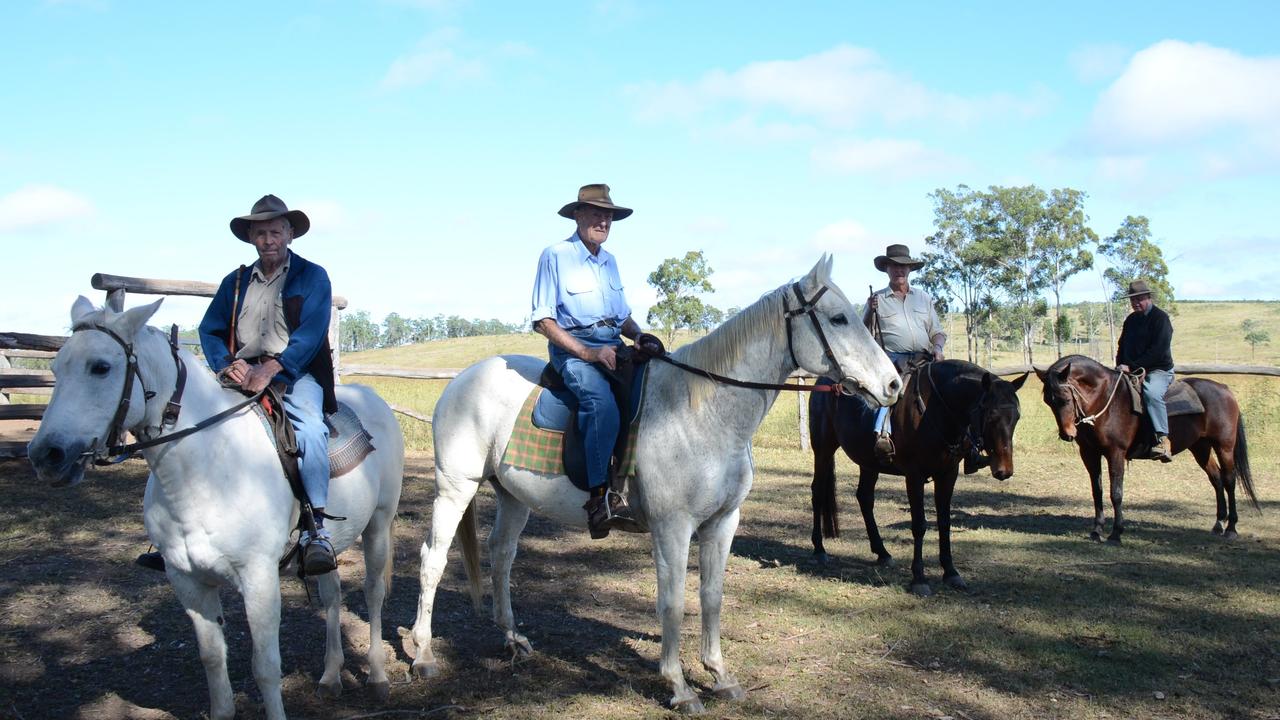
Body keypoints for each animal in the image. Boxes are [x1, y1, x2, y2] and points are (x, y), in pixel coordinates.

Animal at [30, 295, 401, 717]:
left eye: (101, 367)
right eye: (55, 368)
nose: (45, 456)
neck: (203, 473)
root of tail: (372, 399)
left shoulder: (259, 579)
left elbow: (266, 667)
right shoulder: (188, 582)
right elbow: (212, 658)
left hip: (378, 525)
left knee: (373, 592)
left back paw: (377, 677)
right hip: (329, 545)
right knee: (332, 594)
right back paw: (330, 677)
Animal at [407, 254, 901, 707]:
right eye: (838, 318)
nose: (894, 385)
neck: (703, 412)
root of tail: (462, 380)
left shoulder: (723, 522)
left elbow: (711, 595)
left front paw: (720, 676)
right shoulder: (672, 527)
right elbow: (672, 602)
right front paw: (679, 686)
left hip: (512, 496)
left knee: (502, 554)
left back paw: (512, 638)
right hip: (455, 487)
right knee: (433, 559)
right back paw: (424, 654)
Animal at [808, 358, 1029, 594]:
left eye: (1016, 417)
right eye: (991, 415)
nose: (1004, 470)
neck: (937, 409)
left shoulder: (948, 474)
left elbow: (944, 522)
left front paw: (951, 572)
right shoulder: (914, 475)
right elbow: (919, 525)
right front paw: (919, 578)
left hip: (869, 462)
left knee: (865, 497)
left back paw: (882, 552)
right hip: (823, 449)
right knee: (818, 492)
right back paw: (819, 550)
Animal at [1034, 353, 1254, 538]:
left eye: (1064, 399)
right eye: (1048, 401)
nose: (1067, 434)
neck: (1106, 402)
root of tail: (1224, 389)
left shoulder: (1116, 453)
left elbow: (1116, 493)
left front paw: (1116, 533)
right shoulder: (1089, 453)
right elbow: (1097, 491)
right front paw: (1097, 530)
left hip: (1224, 446)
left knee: (1229, 480)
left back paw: (1231, 528)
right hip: (1201, 447)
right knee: (1216, 479)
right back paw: (1218, 524)